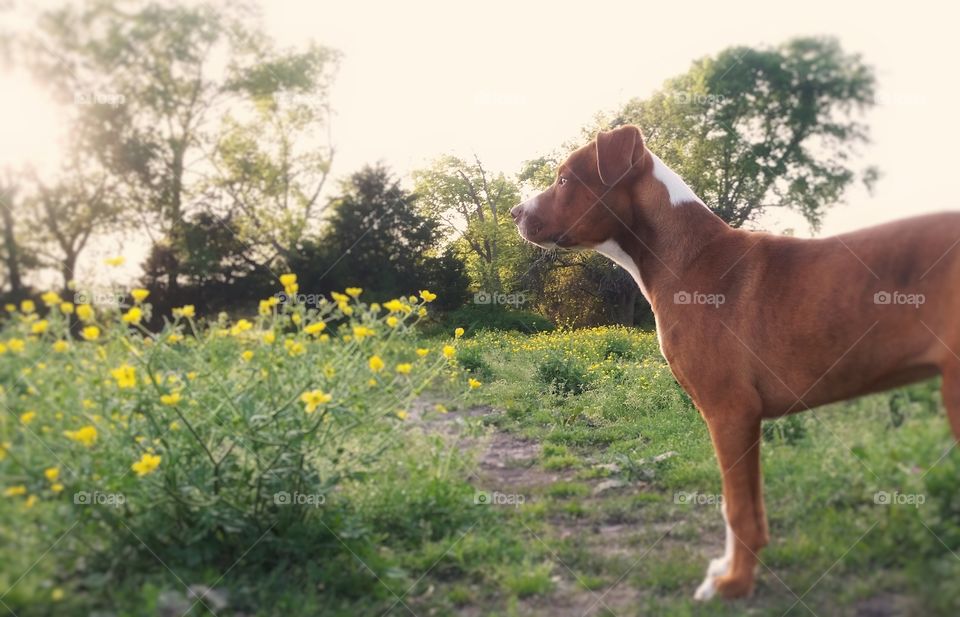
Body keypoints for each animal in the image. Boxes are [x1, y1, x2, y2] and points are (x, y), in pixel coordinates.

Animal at [512, 124, 960, 596]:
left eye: (564, 179)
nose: (513, 212)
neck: (685, 258)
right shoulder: (743, 418)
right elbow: (747, 508)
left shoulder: (730, 411)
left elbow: (736, 509)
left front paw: (733, 584)